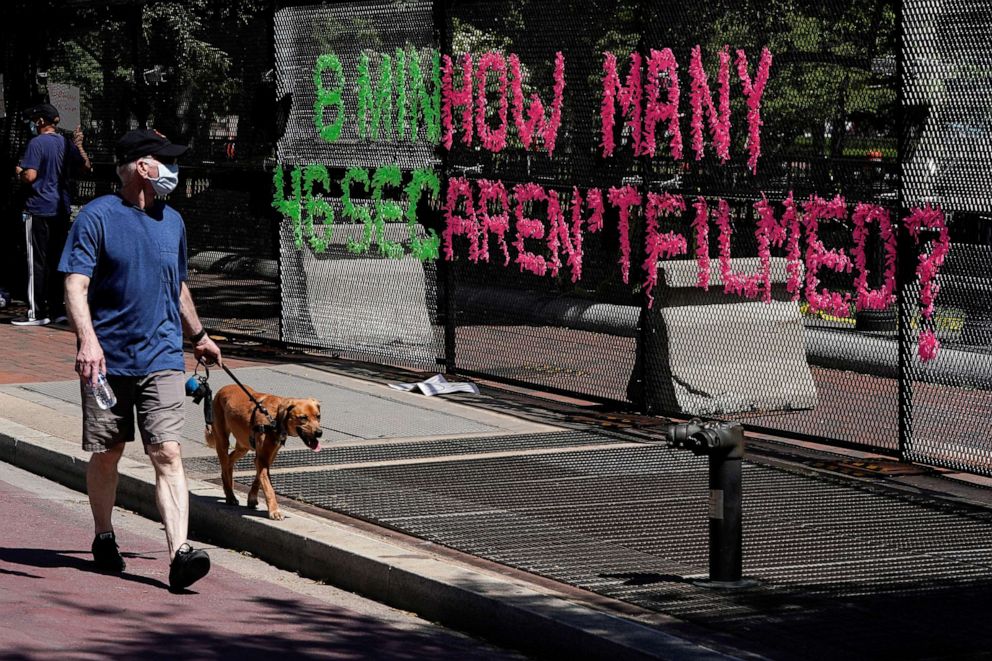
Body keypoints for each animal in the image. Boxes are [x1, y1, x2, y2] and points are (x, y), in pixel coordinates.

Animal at [204, 382, 322, 520]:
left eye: (318, 416)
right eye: (303, 418)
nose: (319, 433)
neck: (275, 419)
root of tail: (223, 389)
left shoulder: (268, 457)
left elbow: (259, 479)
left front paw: (252, 498)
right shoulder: (262, 458)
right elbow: (268, 487)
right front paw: (274, 510)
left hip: (244, 445)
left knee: (230, 460)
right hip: (222, 440)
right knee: (224, 464)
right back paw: (230, 495)